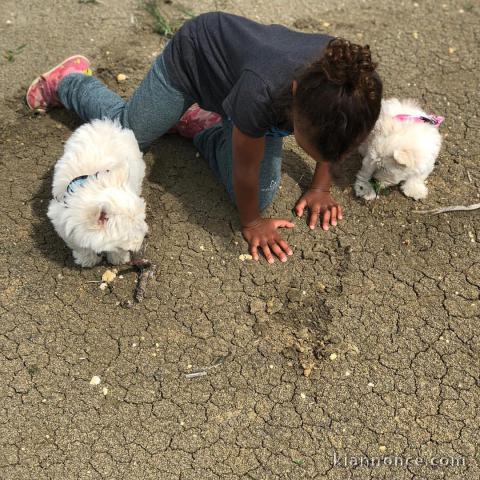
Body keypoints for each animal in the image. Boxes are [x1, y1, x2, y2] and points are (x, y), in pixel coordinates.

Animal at [47, 116, 148, 266]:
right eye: (130, 233)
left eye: (141, 222)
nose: (143, 239)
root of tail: (107, 122)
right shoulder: (62, 220)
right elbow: (79, 244)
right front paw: (88, 259)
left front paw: (118, 258)